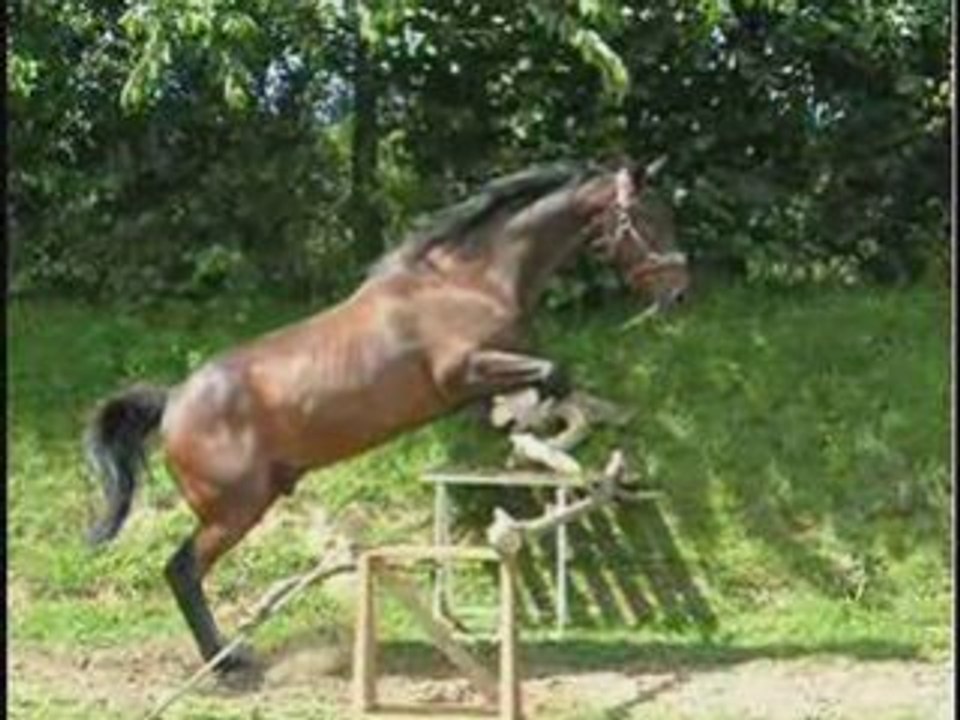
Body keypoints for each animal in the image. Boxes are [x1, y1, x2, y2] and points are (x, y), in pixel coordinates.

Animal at [84, 159, 689, 674]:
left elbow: (554, 395)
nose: (680, 294)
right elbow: (553, 378)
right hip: (234, 509)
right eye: (646, 219)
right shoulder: (464, 371)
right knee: (183, 570)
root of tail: (172, 402)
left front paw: (557, 436)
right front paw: (546, 440)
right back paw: (226, 663)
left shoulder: (487, 379)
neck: (469, 281)